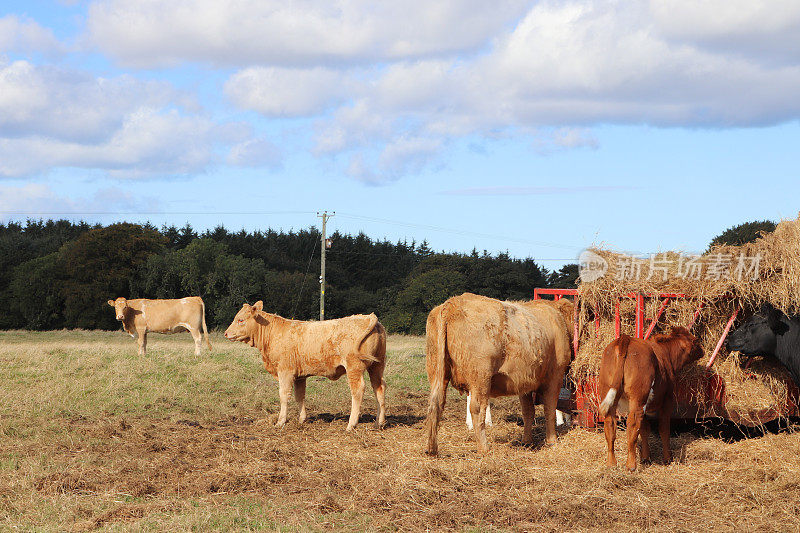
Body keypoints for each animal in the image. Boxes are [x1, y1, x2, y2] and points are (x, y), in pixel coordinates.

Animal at [225, 302, 388, 430]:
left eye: (240, 320)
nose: (226, 333)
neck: (272, 334)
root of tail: (368, 317)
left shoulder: (285, 371)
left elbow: (284, 395)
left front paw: (280, 422)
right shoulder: (299, 376)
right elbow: (300, 396)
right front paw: (301, 419)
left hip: (354, 367)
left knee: (358, 390)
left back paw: (351, 424)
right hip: (377, 366)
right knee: (379, 388)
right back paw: (379, 423)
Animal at [428, 290, 572, 454]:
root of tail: (451, 304)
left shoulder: (525, 382)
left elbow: (528, 411)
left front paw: (527, 441)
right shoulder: (555, 376)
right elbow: (550, 408)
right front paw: (552, 441)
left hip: (436, 374)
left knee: (435, 404)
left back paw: (431, 448)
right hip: (480, 378)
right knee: (477, 408)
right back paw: (484, 448)